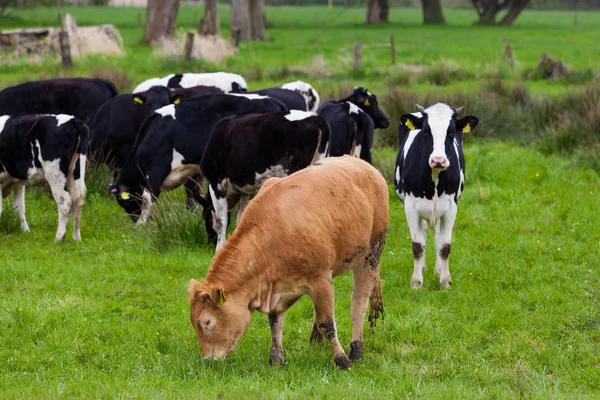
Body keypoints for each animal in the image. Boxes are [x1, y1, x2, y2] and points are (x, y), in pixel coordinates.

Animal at [0, 114, 89, 242]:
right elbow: (19, 206)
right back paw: (76, 238)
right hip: (76, 171)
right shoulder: (17, 181)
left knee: (65, 202)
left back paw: (59, 238)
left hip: (55, 175)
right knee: (78, 201)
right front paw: (26, 231)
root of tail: (73, 120)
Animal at [110, 94, 288, 225]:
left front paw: (141, 224)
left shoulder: (155, 169)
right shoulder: (191, 169)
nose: (133, 219)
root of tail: (276, 102)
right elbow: (191, 191)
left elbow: (148, 197)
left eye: (124, 203)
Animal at [188, 155, 390, 368]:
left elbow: (327, 322)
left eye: (207, 322)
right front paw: (276, 357)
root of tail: (362, 164)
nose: (208, 360)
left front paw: (341, 359)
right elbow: (276, 321)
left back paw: (356, 349)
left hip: (372, 252)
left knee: (359, 299)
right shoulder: (281, 287)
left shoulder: (320, 279)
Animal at [202, 109, 332, 252]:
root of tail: (314, 117)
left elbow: (221, 220)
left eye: (205, 216)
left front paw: (219, 249)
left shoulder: (216, 182)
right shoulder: (247, 190)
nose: (209, 241)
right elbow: (241, 217)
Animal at [394, 103, 478, 290]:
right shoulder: (410, 207)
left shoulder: (451, 207)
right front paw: (416, 282)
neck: (434, 177)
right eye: (426, 131)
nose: (438, 160)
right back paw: (424, 268)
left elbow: (444, 246)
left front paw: (446, 281)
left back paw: (438, 269)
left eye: (451, 132)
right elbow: (418, 246)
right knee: (424, 233)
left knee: (438, 234)